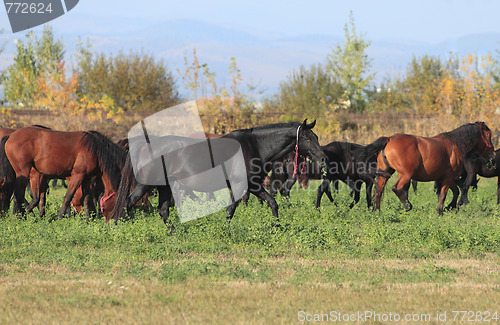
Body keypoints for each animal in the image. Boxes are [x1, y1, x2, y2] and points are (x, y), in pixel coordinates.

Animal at [110, 119, 326, 225]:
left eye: (316, 136)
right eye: (307, 138)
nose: (323, 159)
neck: (253, 146)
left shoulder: (252, 185)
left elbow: (272, 203)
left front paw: (277, 225)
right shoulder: (240, 185)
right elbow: (231, 209)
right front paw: (225, 230)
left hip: (164, 187)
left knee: (163, 211)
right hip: (146, 184)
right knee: (126, 204)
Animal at [358, 120, 494, 214]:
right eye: (489, 135)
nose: (492, 157)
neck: (454, 145)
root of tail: (389, 139)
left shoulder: (446, 178)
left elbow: (455, 191)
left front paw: (450, 206)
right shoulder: (448, 178)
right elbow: (443, 194)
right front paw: (440, 211)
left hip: (385, 174)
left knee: (378, 191)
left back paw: (377, 212)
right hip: (405, 175)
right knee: (396, 188)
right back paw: (407, 205)